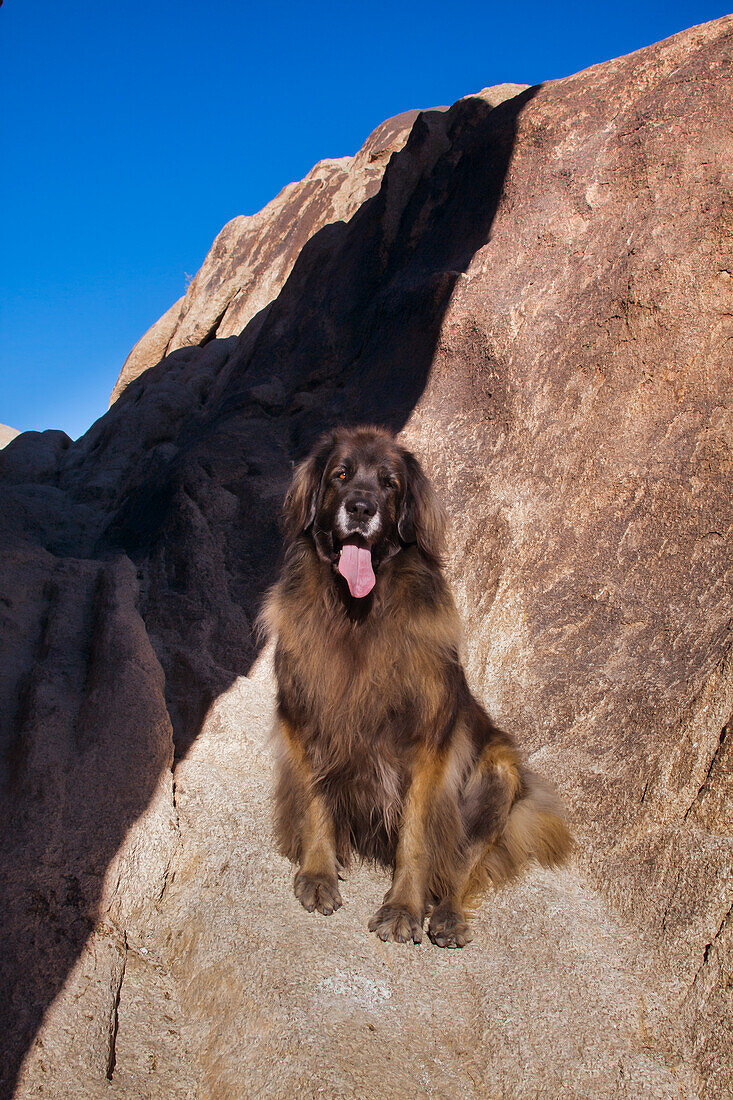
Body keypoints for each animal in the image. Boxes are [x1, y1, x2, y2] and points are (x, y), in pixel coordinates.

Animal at [259, 422, 572, 946]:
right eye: (341, 474)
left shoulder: (429, 747)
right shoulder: (310, 720)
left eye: (389, 483)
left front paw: (403, 907)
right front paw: (319, 874)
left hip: (498, 777)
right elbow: (317, 802)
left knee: (461, 866)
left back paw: (445, 916)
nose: (360, 508)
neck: (359, 616)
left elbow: (417, 838)